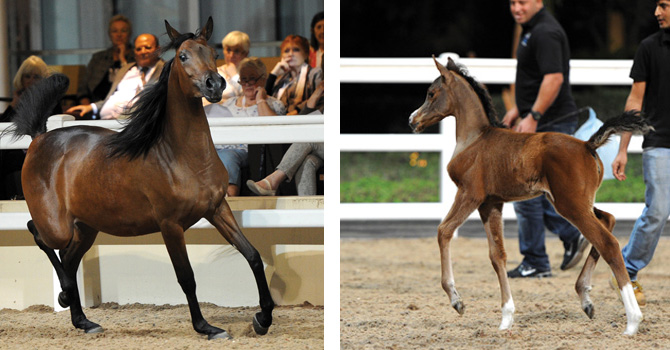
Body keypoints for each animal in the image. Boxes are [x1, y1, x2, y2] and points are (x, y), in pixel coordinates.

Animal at [9, 17, 276, 340]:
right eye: (183, 56)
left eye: (213, 53)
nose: (215, 84)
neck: (181, 156)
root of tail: (39, 138)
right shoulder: (170, 225)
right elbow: (186, 277)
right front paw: (207, 327)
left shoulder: (217, 209)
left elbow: (252, 256)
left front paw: (263, 319)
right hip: (57, 225)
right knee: (38, 234)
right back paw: (64, 294)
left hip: (86, 227)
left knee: (70, 259)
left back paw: (84, 320)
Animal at [406, 57, 652, 336]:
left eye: (431, 93)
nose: (412, 120)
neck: (475, 139)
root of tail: (587, 144)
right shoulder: (491, 204)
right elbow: (497, 255)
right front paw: (506, 317)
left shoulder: (470, 195)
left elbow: (444, 231)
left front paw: (456, 301)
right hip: (574, 201)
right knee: (608, 219)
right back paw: (586, 299)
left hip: (570, 205)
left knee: (607, 242)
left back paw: (632, 320)